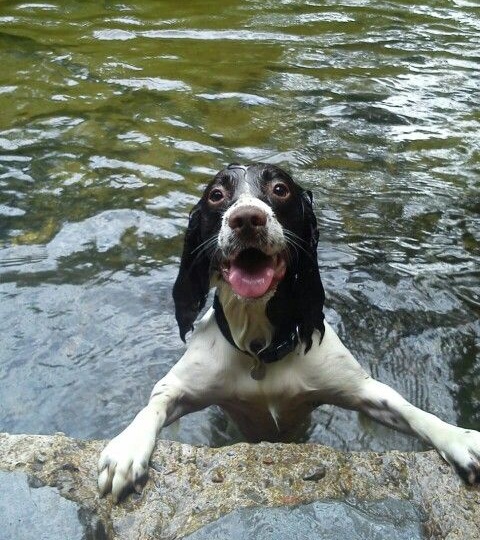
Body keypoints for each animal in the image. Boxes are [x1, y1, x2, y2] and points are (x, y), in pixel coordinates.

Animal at [97, 161, 480, 502]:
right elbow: (154, 405)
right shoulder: (181, 387)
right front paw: (129, 446)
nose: (246, 218)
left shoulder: (360, 390)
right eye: (216, 195)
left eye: (279, 189)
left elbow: (411, 411)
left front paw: (458, 437)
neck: (259, 348)